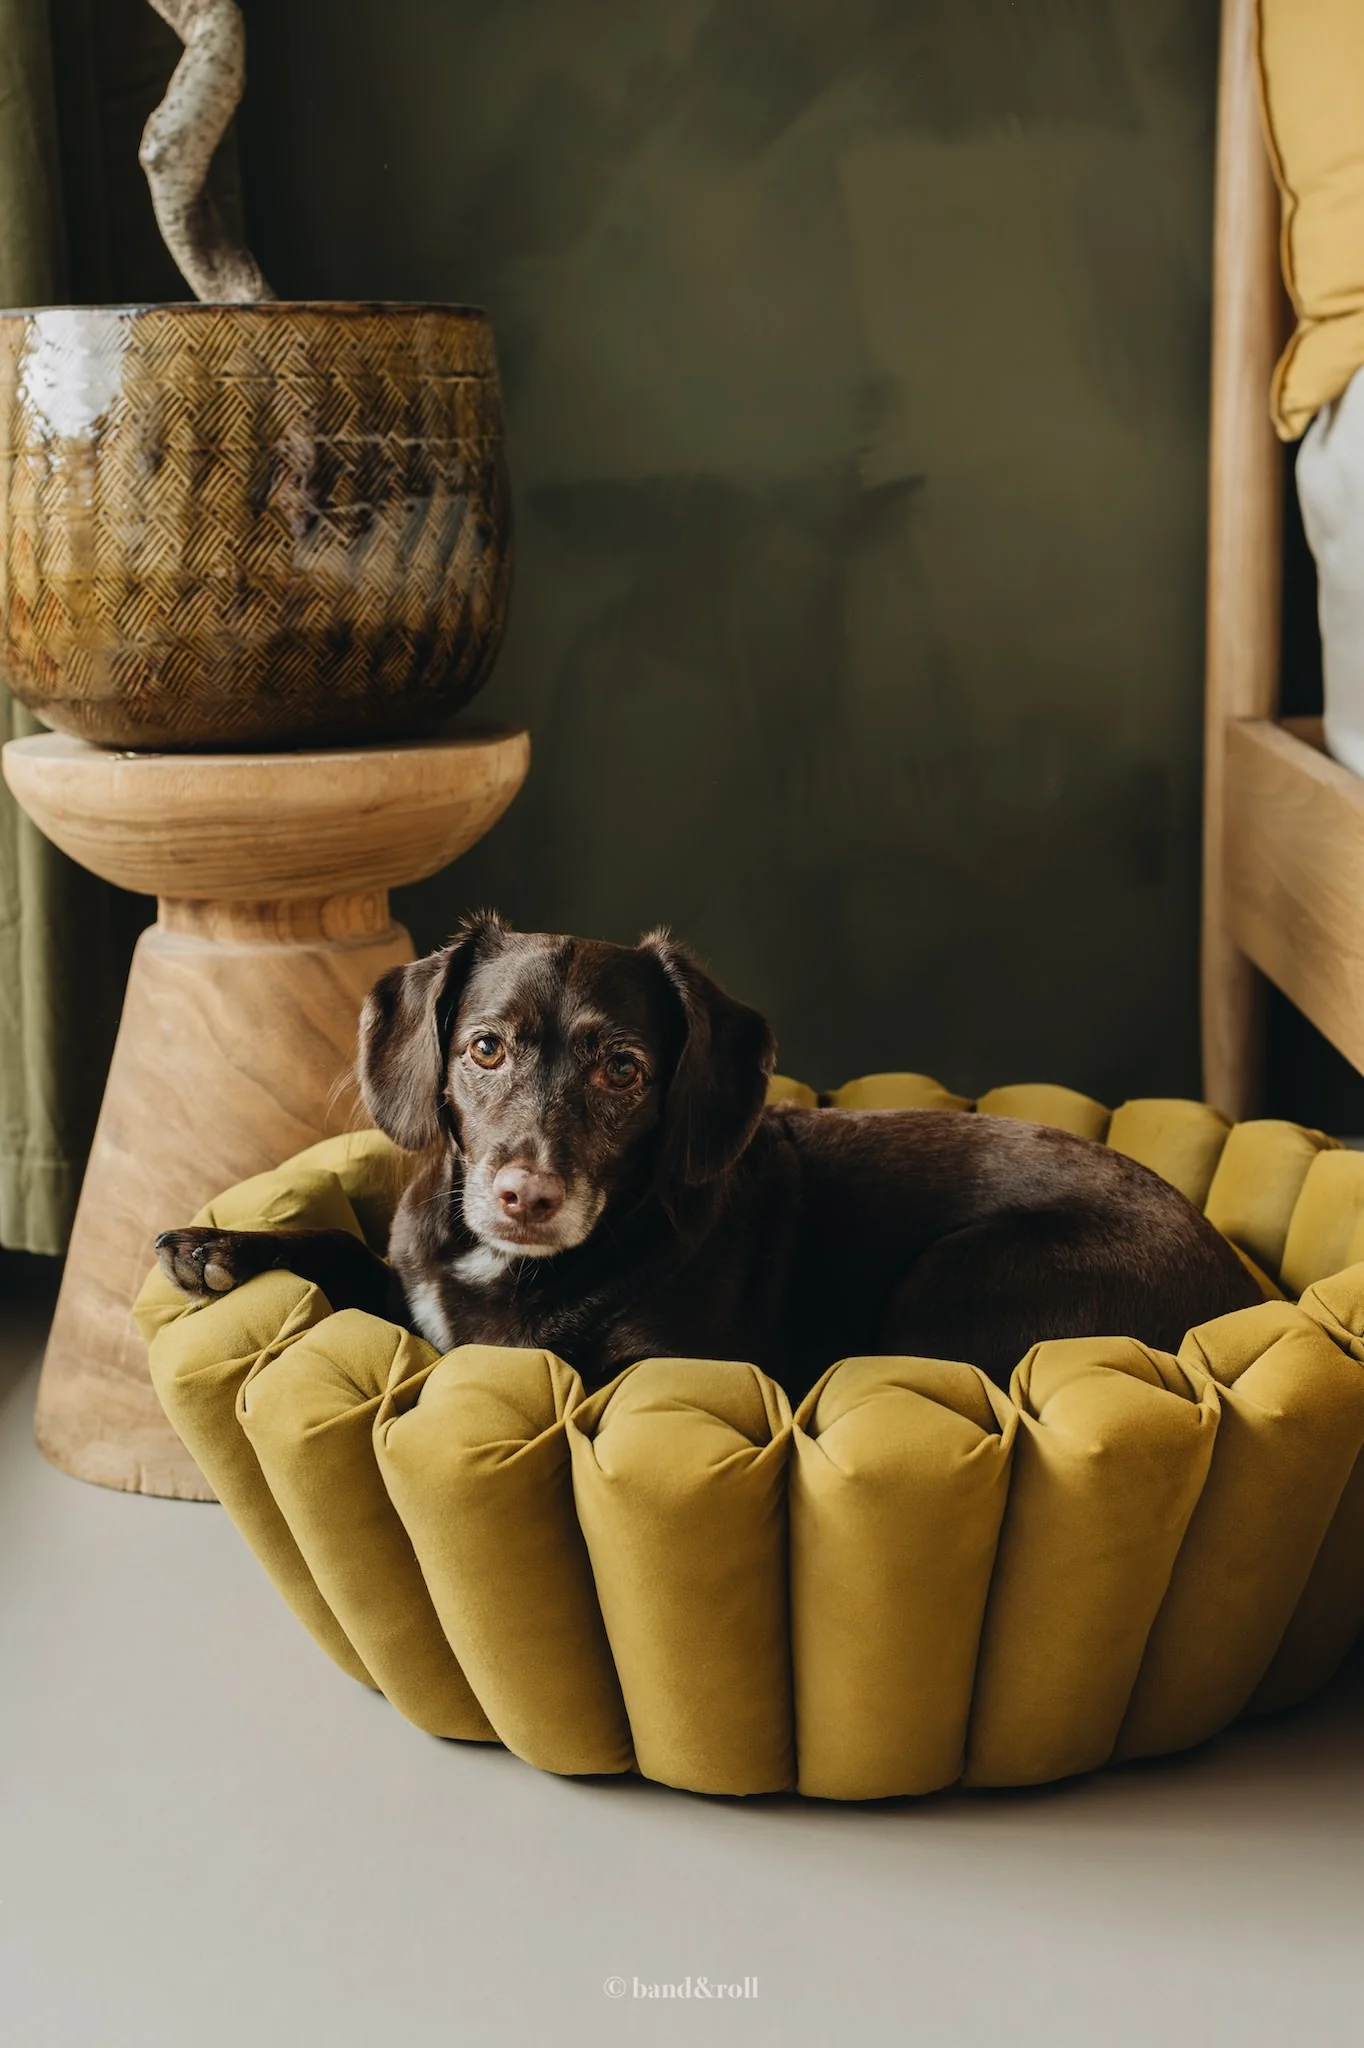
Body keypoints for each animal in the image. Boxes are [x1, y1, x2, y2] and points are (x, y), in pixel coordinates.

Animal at [155, 914, 1262, 1400]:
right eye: (484, 1048)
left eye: (623, 1068)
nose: (524, 1196)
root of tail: (1240, 1290)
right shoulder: (408, 1282)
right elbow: (342, 1253)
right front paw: (221, 1245)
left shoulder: (665, 1364)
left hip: (960, 1277)